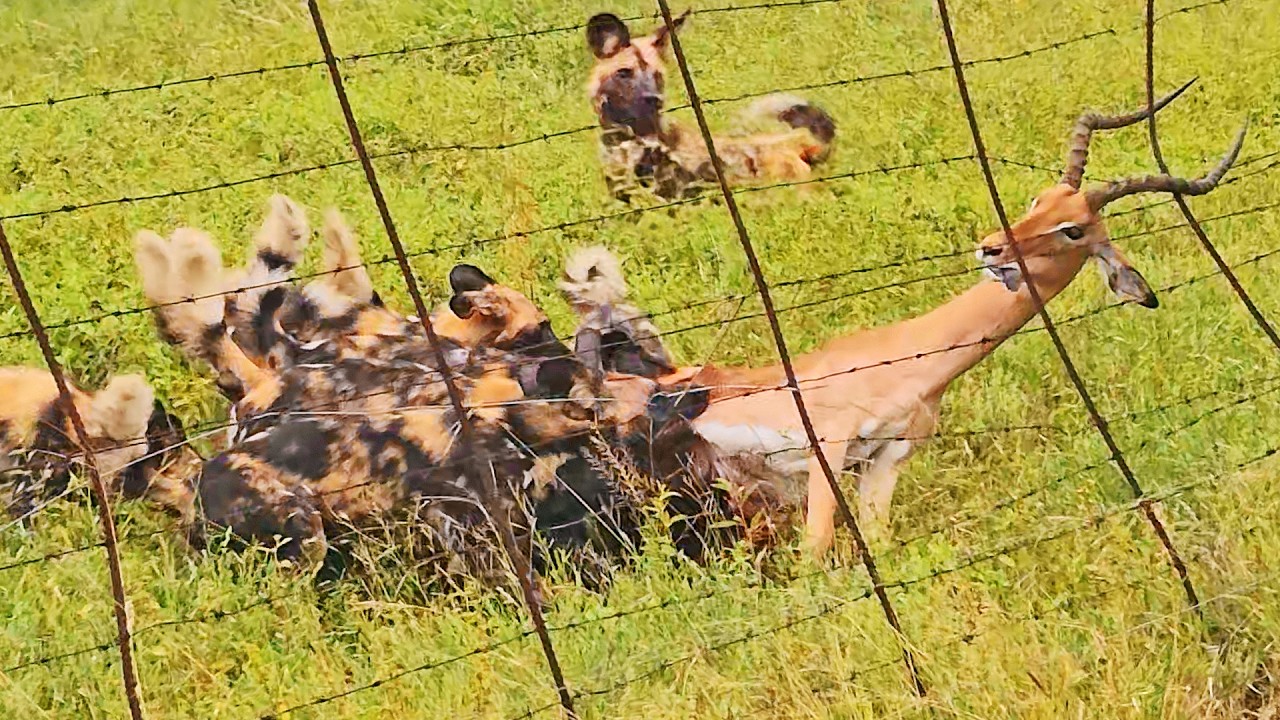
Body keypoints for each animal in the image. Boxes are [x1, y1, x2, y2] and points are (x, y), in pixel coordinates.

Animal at [657, 82, 1246, 555]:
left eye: (1073, 228)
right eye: (1039, 199)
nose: (990, 247)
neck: (908, 360)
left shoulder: (885, 460)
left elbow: (877, 545)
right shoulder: (830, 448)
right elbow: (817, 555)